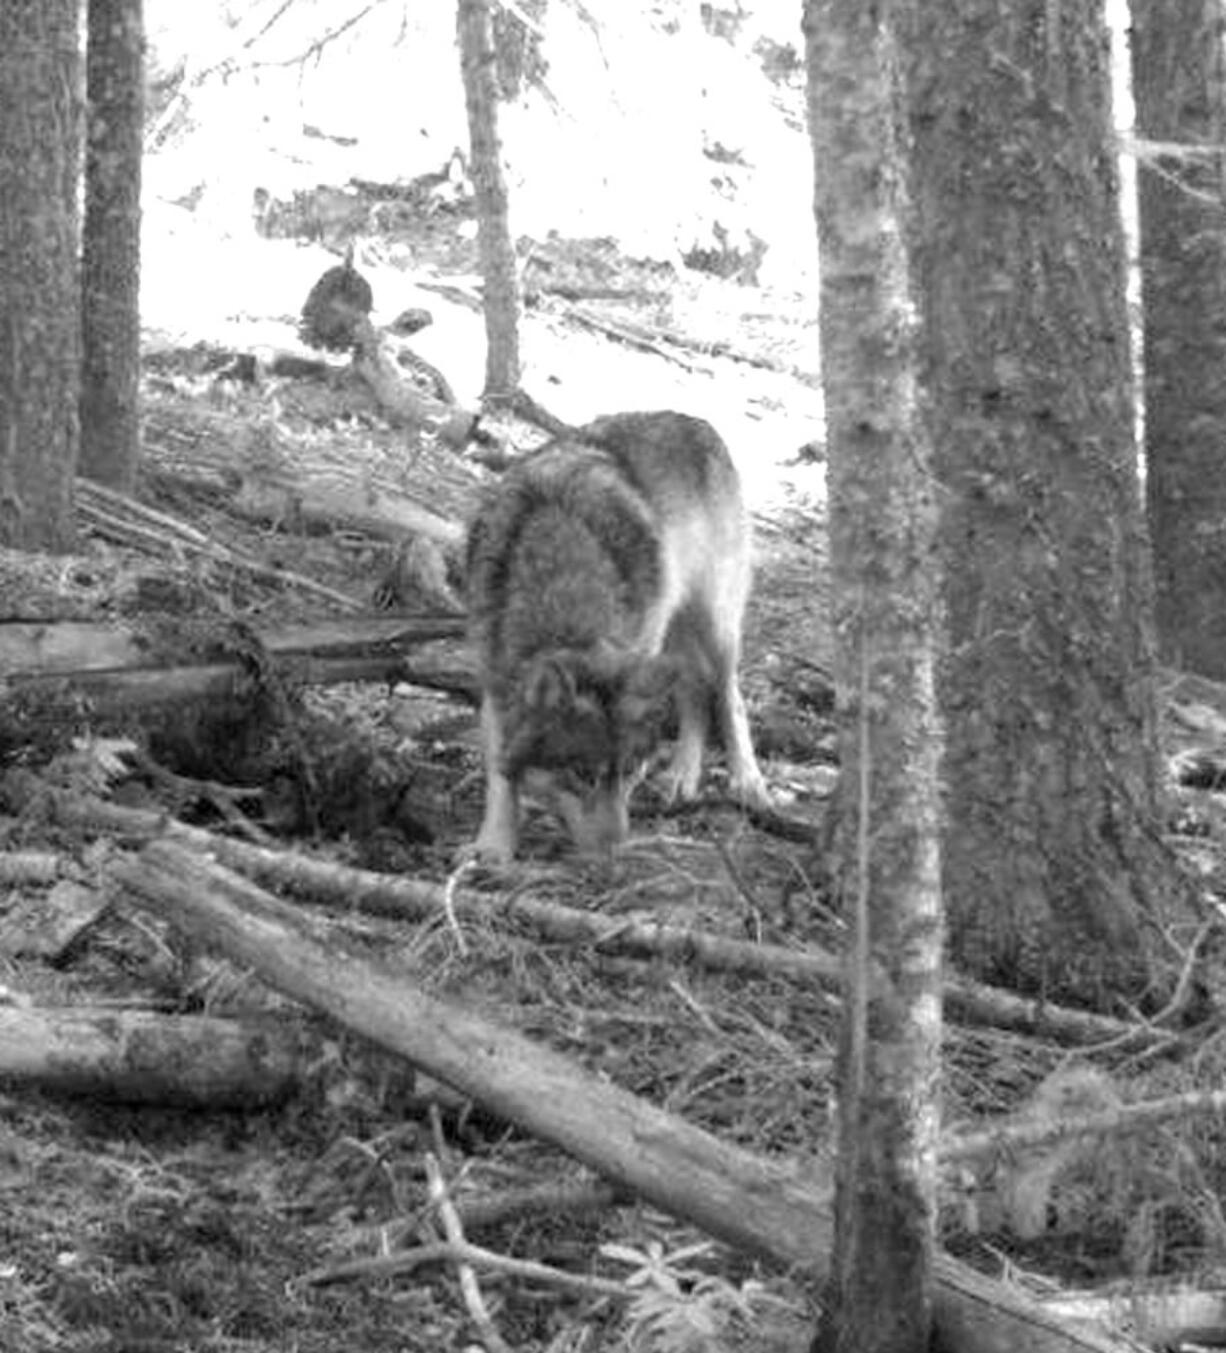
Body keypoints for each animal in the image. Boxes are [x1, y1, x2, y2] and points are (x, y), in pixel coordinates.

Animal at [462, 405, 768, 860]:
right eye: (582, 775)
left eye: (630, 772)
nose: (616, 853)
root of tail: (696, 421)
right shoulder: (496, 676)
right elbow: (502, 777)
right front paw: (494, 847)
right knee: (694, 693)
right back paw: (682, 776)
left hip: (715, 627)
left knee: (730, 696)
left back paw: (747, 780)